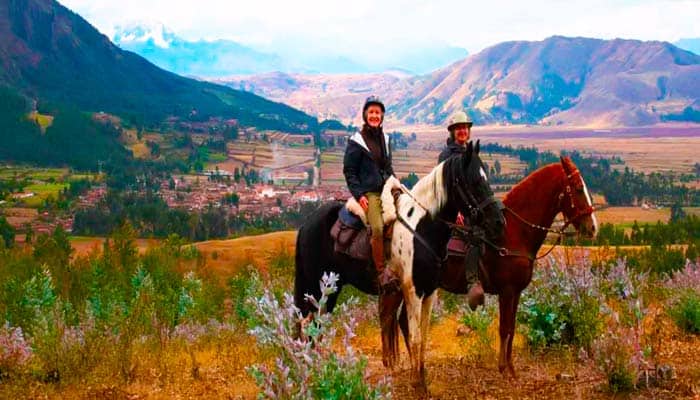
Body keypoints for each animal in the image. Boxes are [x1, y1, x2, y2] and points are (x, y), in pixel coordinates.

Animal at [392, 155, 600, 382]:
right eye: (578, 188)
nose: (593, 228)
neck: (513, 232)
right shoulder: (506, 291)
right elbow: (504, 328)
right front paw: (503, 368)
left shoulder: (516, 292)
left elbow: (512, 327)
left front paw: (511, 368)